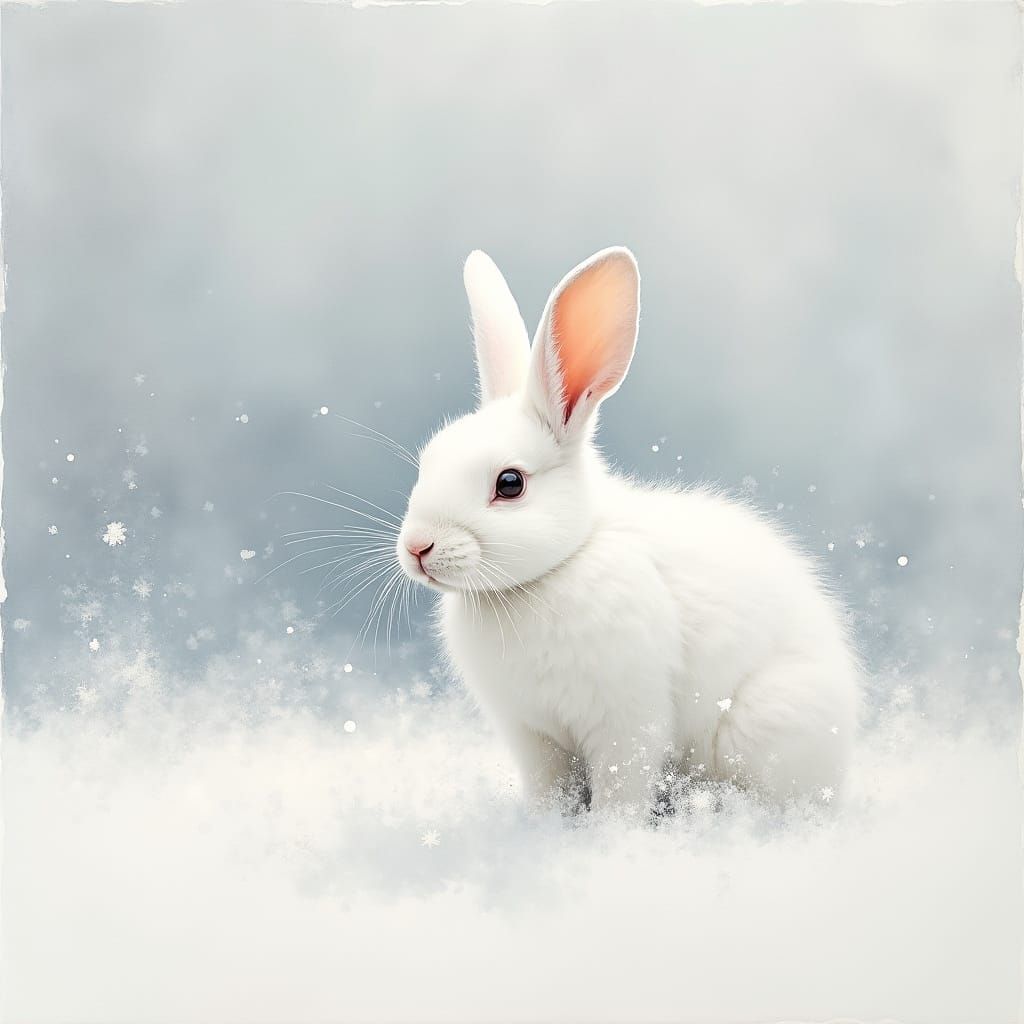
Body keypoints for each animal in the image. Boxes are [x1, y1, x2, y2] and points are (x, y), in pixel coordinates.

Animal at [396, 246, 861, 812]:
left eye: (510, 483)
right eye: (428, 460)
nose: (417, 547)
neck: (552, 570)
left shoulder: (626, 722)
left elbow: (623, 788)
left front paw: (611, 829)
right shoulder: (533, 737)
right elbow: (549, 791)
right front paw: (542, 824)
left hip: (760, 728)